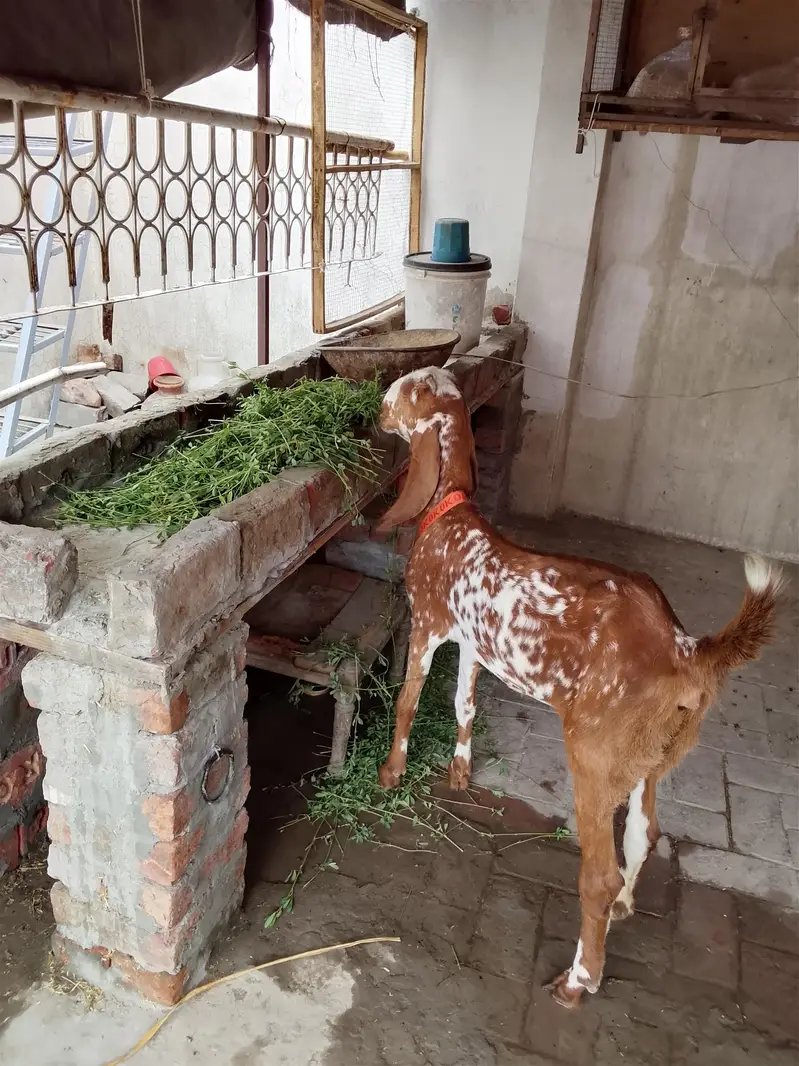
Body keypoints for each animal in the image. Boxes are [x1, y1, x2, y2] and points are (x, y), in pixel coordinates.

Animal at [375, 366, 783, 1009]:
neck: (451, 512)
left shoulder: (430, 625)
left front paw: (391, 772)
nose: (377, 405)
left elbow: (409, 700)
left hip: (593, 752)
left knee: (599, 872)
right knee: (643, 834)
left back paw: (578, 978)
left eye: (409, 390)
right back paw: (623, 909)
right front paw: (461, 770)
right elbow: (464, 699)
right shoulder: (473, 641)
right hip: (648, 758)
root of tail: (684, 648)